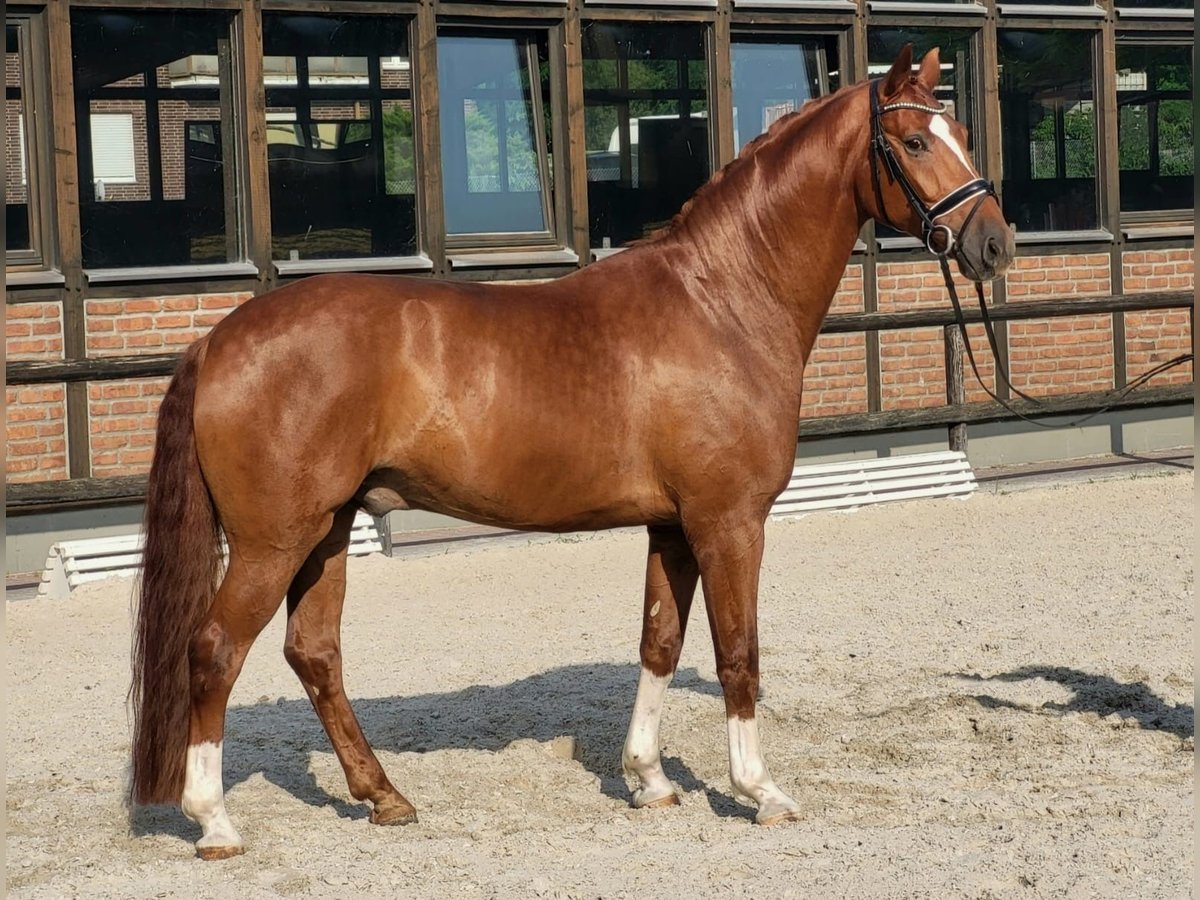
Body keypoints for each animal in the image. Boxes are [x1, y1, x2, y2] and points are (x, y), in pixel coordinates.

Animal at [129, 47, 1012, 859]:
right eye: (913, 140)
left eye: (962, 133)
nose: (994, 244)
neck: (723, 300)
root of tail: (219, 340)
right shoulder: (729, 522)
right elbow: (738, 652)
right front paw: (760, 791)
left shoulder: (672, 526)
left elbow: (660, 642)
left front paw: (649, 780)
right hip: (273, 539)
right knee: (214, 651)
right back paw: (215, 822)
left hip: (327, 531)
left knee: (313, 653)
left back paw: (384, 796)